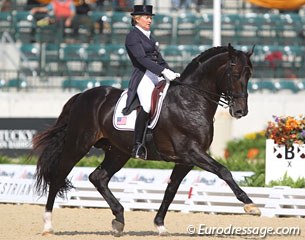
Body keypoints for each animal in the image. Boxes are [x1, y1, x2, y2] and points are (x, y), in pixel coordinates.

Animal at [30, 44, 258, 236]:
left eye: (249, 74)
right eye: (234, 74)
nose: (241, 111)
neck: (191, 100)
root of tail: (83, 94)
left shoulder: (186, 160)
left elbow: (171, 189)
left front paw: (160, 225)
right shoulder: (191, 152)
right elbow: (223, 171)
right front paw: (250, 205)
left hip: (118, 152)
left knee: (98, 177)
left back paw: (119, 219)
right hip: (78, 145)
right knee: (59, 176)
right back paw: (48, 224)